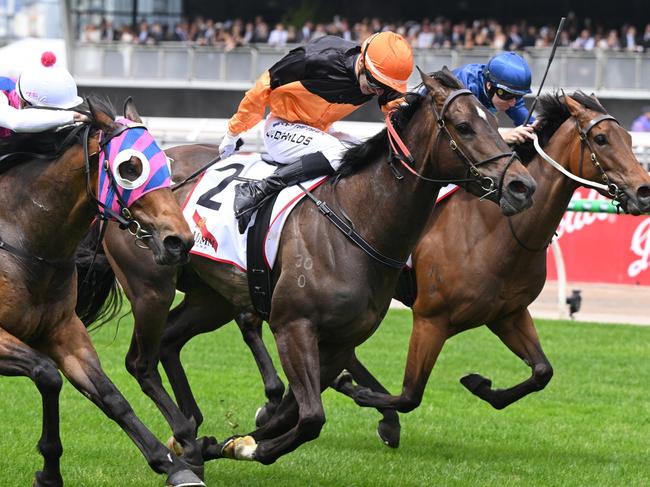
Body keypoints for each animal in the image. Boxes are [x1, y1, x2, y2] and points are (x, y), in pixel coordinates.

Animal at [0, 98, 202, 487]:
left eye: (166, 165)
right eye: (131, 168)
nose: (179, 241)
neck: (22, 236)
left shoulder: (64, 331)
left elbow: (111, 396)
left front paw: (173, 464)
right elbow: (47, 373)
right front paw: (49, 471)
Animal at [74, 69, 532, 468]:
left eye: (494, 121)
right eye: (464, 126)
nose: (522, 186)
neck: (357, 221)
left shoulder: (340, 342)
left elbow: (291, 413)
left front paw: (230, 441)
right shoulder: (294, 327)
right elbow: (311, 417)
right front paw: (245, 447)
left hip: (211, 297)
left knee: (170, 340)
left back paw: (190, 428)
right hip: (152, 287)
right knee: (140, 361)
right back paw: (184, 432)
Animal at [332, 91, 648, 446]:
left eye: (629, 139)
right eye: (601, 138)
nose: (644, 191)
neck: (494, 231)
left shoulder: (507, 314)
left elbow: (542, 371)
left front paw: (481, 384)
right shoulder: (431, 319)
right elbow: (410, 394)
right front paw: (363, 398)